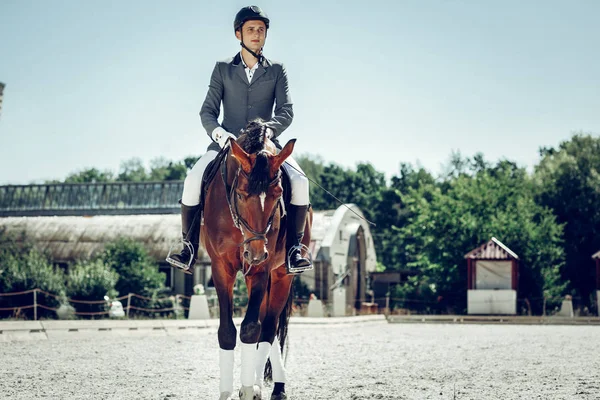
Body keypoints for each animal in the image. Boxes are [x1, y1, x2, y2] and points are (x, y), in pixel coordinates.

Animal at [202, 121, 314, 400]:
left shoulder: (262, 270)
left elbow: (251, 328)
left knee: (269, 328)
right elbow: (227, 331)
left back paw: (272, 387)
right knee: (267, 329)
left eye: (278, 195)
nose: (255, 254)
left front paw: (247, 388)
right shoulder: (221, 269)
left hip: (281, 275)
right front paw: (227, 392)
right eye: (241, 195)